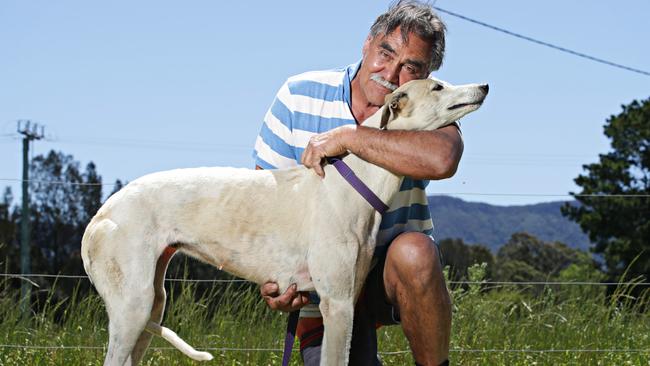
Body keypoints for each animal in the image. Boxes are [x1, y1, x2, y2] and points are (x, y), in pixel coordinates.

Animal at [79, 78, 486, 366]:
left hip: (152, 302)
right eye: (437, 86)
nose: (484, 86)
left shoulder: (346, 300)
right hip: (132, 305)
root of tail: (102, 215)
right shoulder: (337, 303)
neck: (356, 180)